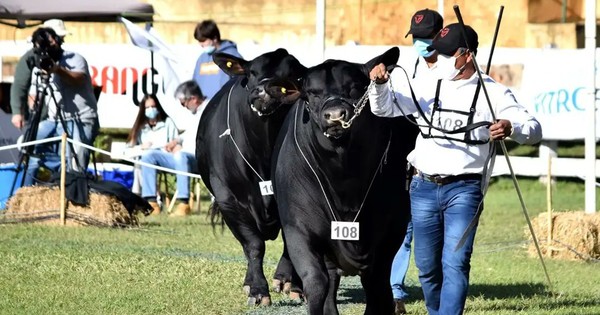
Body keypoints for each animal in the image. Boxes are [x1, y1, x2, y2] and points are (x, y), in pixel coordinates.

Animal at [196, 48, 308, 306]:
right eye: (252, 72)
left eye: (293, 73)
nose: (263, 91)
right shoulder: (227, 199)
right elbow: (253, 245)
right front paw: (257, 290)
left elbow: (292, 244)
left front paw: (294, 285)